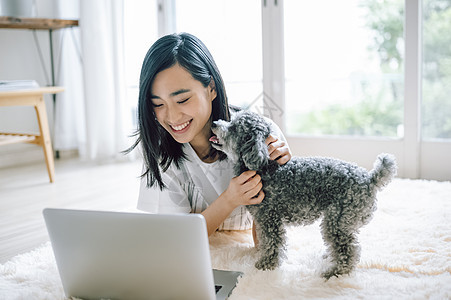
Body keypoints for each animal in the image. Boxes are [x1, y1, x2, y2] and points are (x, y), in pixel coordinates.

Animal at [210, 110, 398, 278]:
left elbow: (272, 243)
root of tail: (370, 178)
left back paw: (335, 273)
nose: (214, 123)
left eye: (234, 127)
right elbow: (265, 242)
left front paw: (265, 265)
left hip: (338, 220)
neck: (263, 166)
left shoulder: (269, 218)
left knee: (348, 249)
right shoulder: (263, 219)